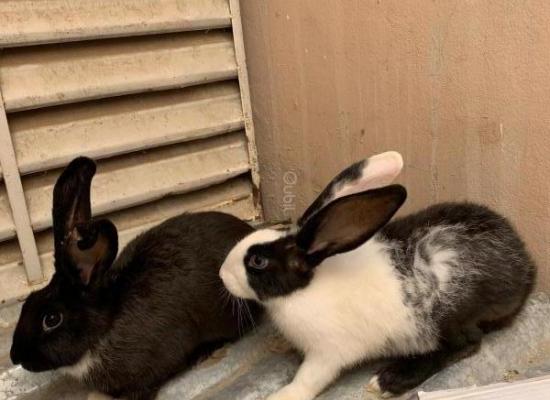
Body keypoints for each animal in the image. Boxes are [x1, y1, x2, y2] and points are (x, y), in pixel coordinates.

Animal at [219, 151, 536, 400]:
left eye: (258, 261)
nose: (222, 275)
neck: (305, 288)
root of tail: (524, 266)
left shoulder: (328, 352)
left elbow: (308, 378)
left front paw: (282, 395)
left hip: (451, 317)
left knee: (467, 344)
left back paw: (387, 381)